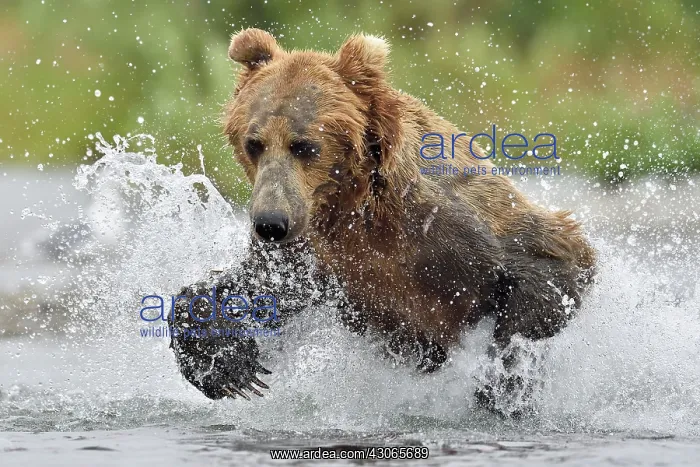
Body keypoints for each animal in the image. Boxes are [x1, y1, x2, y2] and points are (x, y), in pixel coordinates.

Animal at [167, 28, 596, 406]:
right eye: (253, 143)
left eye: (303, 145)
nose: (270, 223)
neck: (354, 207)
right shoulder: (316, 254)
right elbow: (262, 287)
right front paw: (226, 364)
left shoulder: (447, 225)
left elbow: (550, 261)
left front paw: (501, 383)